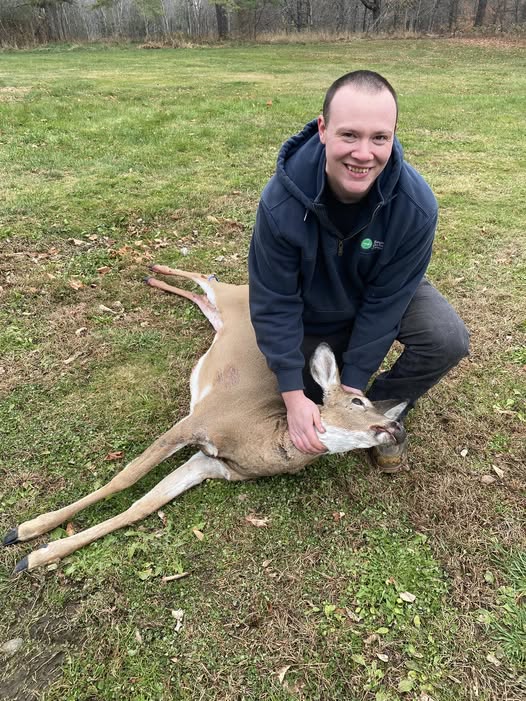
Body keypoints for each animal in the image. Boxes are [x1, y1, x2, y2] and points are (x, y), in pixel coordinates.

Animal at [4, 266, 406, 574]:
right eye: (358, 400)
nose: (397, 427)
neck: (258, 434)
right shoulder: (196, 421)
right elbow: (124, 478)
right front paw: (24, 531)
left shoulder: (210, 464)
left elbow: (142, 506)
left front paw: (33, 556)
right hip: (229, 298)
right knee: (205, 276)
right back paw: (154, 270)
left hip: (219, 316)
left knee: (203, 295)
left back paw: (154, 277)